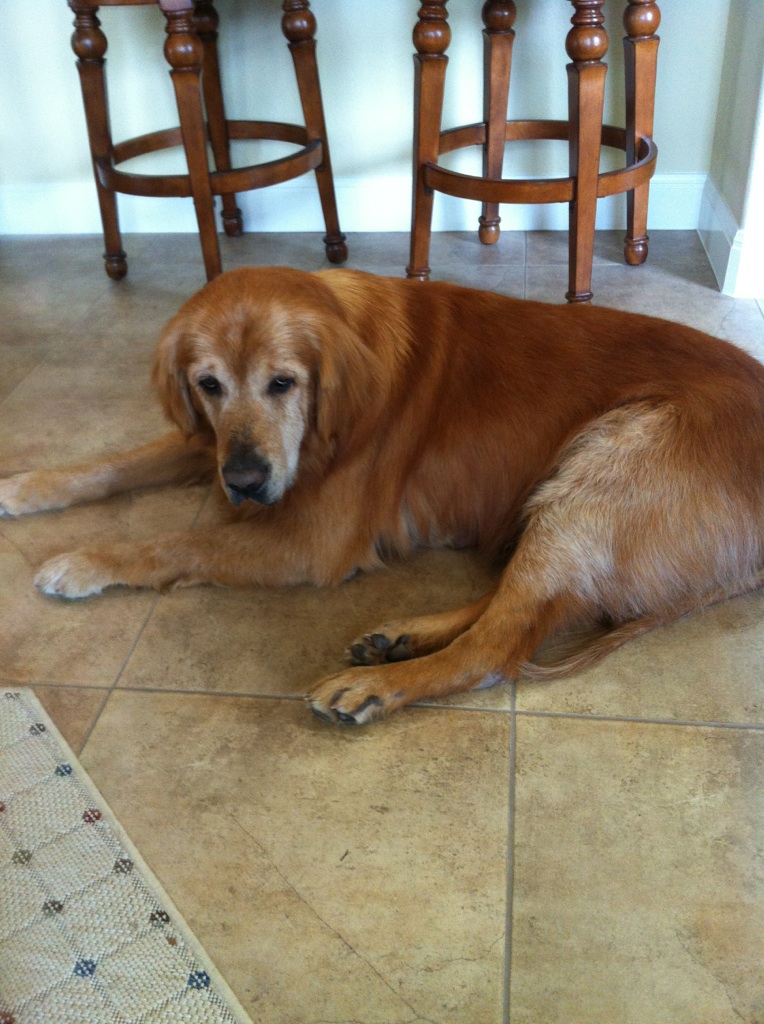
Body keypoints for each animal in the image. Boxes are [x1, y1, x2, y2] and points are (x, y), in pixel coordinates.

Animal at [2, 267, 764, 724]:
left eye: (283, 383)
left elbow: (174, 542)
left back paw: (377, 684)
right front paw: (28, 485)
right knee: (525, 606)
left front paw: (83, 562)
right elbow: (115, 465)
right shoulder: (212, 445)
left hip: (601, 465)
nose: (244, 485)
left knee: (499, 645)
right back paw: (399, 636)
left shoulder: (310, 543)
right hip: (561, 496)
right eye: (208, 384)